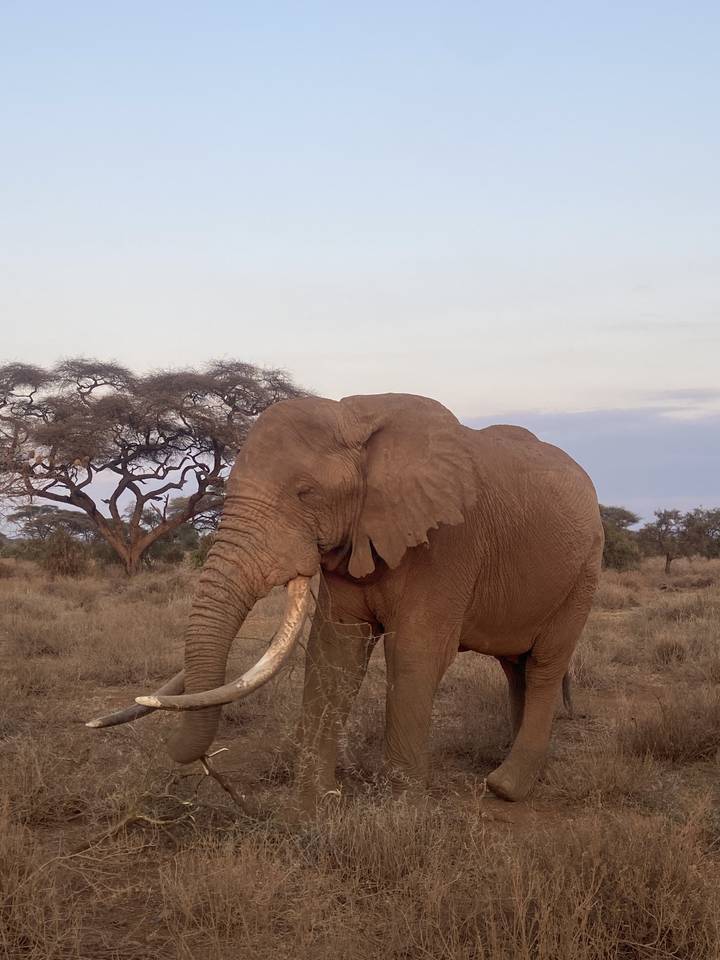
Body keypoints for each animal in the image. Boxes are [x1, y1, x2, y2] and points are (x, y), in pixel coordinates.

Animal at [88, 393, 603, 805]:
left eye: (305, 493)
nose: (213, 773)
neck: (354, 415)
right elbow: (335, 649)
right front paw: (316, 802)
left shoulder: (451, 543)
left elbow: (415, 653)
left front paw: (402, 809)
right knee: (517, 667)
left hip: (584, 571)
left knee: (544, 666)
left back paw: (507, 787)